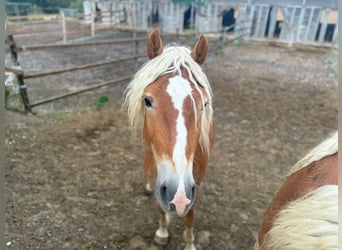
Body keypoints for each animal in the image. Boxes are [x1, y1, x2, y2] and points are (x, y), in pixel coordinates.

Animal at [123, 27, 214, 250]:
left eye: (203, 104)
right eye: (147, 100)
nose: (178, 195)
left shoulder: (193, 187)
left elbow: (189, 216)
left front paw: (189, 244)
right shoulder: (161, 179)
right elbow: (159, 205)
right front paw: (162, 232)